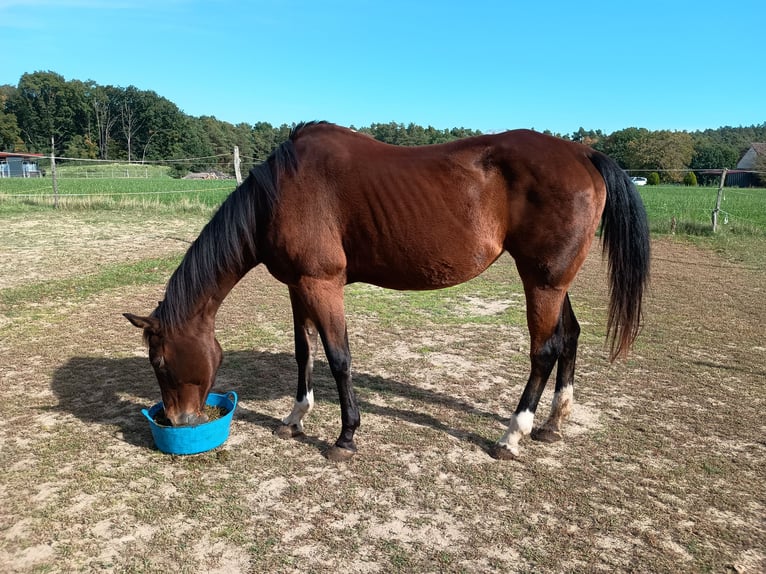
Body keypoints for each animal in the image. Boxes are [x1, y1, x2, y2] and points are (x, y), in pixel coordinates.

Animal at [125, 121, 650, 462]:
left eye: (161, 362)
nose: (177, 421)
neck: (279, 193)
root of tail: (583, 154)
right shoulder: (298, 286)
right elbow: (303, 351)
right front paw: (295, 417)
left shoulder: (322, 284)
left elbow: (338, 357)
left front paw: (345, 438)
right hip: (553, 281)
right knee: (570, 337)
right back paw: (553, 424)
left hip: (541, 282)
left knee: (544, 350)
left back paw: (513, 435)